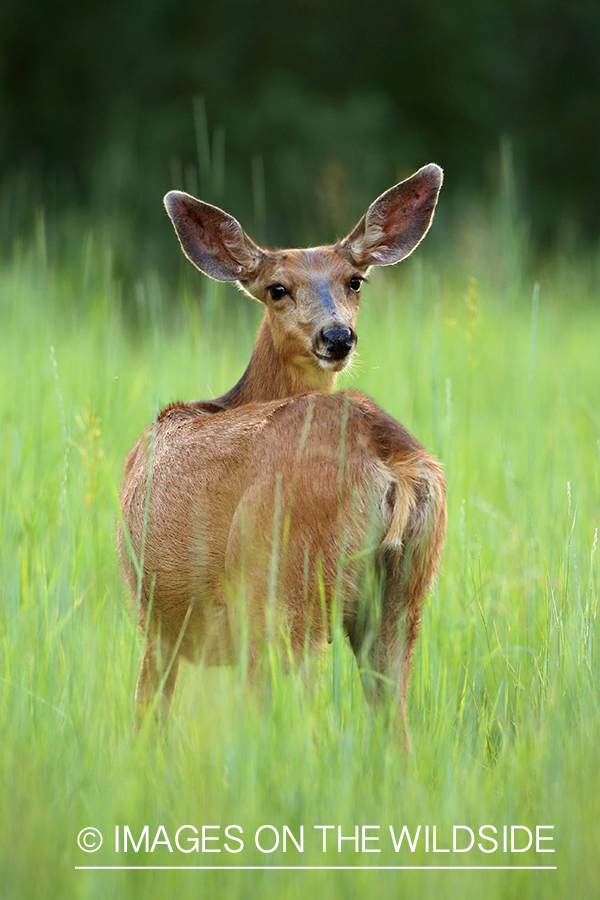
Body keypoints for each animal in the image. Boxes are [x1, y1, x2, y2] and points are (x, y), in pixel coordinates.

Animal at [117, 165, 446, 740]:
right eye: (278, 289)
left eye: (354, 281)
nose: (337, 335)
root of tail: (391, 460)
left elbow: (147, 716)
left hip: (279, 586)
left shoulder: (154, 613)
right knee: (394, 720)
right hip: (403, 595)